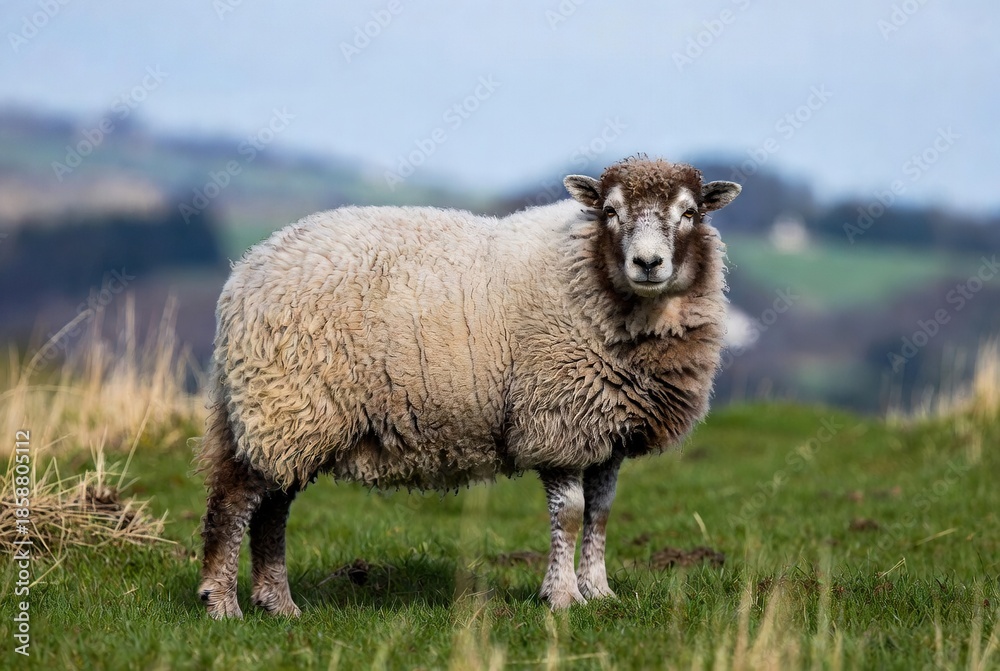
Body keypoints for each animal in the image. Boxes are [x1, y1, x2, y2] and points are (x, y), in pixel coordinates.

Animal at [197, 156, 741, 618]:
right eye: (610, 211)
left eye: (689, 212)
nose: (647, 263)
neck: (585, 269)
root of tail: (247, 269)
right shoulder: (556, 419)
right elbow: (570, 513)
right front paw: (563, 598)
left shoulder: (607, 428)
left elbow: (601, 514)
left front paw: (600, 592)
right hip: (281, 403)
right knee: (235, 500)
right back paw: (222, 604)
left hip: (293, 419)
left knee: (273, 509)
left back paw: (277, 604)